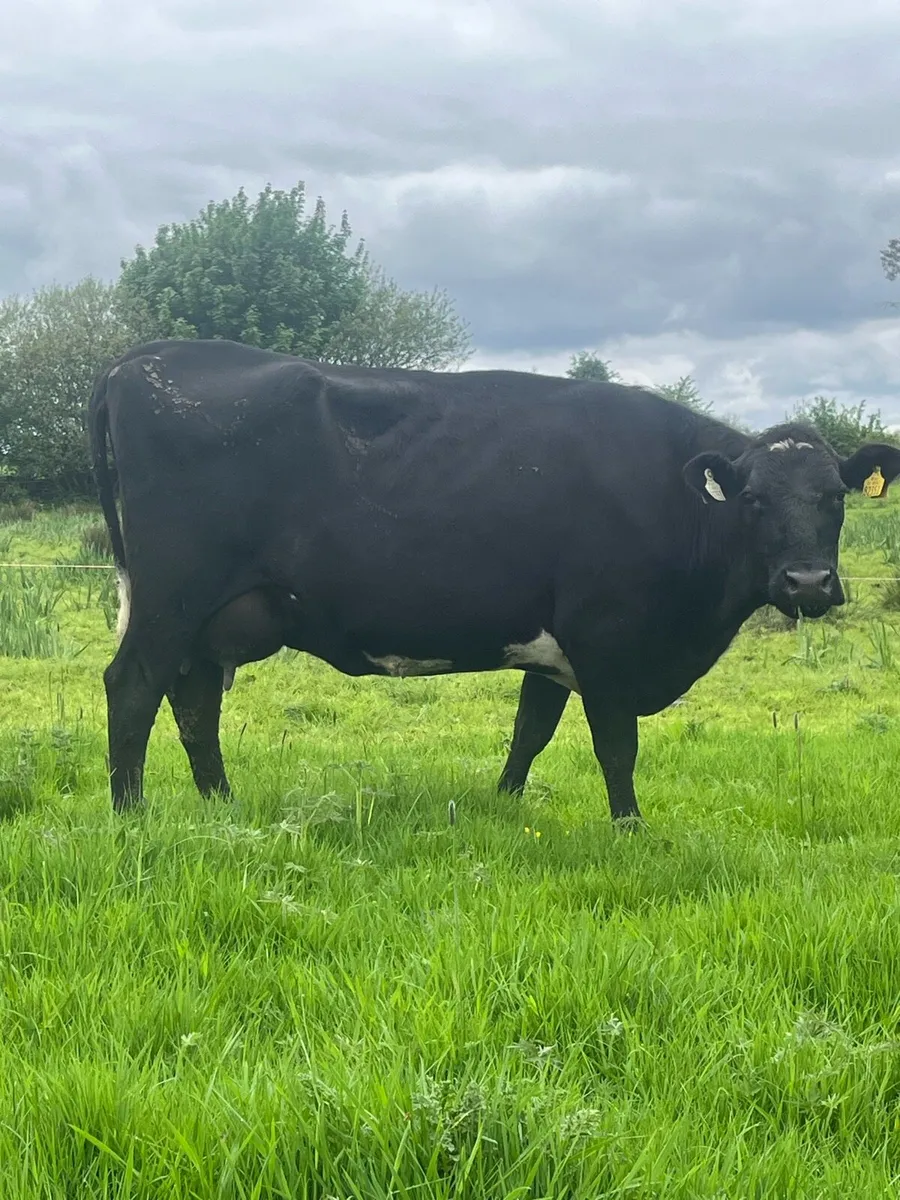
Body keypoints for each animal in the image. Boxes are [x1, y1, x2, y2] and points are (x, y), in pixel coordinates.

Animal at [87, 338, 900, 823]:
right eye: (754, 500)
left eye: (835, 497)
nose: (806, 582)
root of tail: (150, 355)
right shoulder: (607, 639)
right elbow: (617, 745)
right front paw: (630, 827)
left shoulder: (550, 642)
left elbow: (530, 730)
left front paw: (505, 807)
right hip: (171, 599)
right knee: (135, 687)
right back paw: (131, 815)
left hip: (212, 618)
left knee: (194, 702)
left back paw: (220, 806)